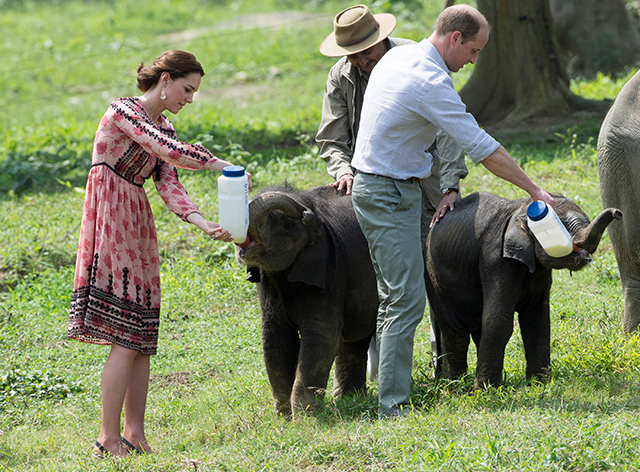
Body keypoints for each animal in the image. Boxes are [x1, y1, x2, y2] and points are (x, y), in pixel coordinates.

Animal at [424, 190, 620, 390]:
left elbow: (536, 319)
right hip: (433, 277)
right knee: (455, 332)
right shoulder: (495, 260)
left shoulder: (540, 270)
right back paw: (456, 387)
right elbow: (498, 319)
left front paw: (538, 384)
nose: (618, 213)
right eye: (562, 223)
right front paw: (485, 391)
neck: (520, 210)